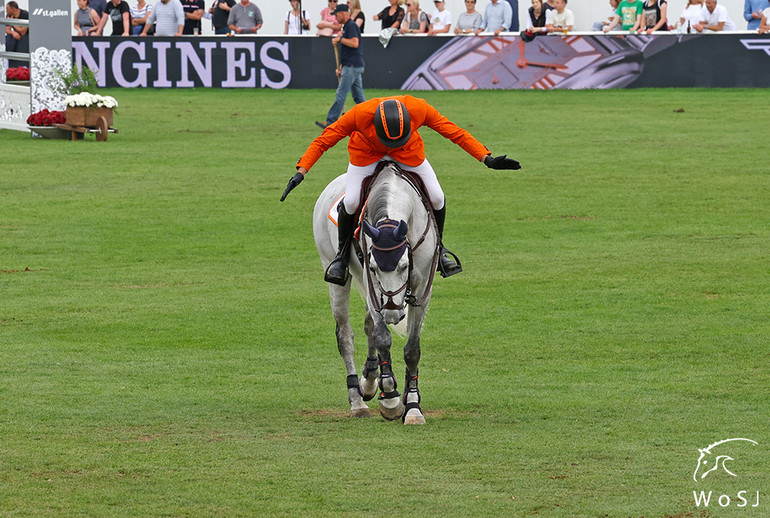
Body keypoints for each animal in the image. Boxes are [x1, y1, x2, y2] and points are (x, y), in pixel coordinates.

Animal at [312, 164, 438, 426]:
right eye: (373, 267)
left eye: (403, 266)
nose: (391, 312)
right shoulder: (372, 286)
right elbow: (382, 338)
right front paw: (390, 400)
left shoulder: (422, 289)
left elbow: (412, 348)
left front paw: (412, 406)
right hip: (335, 271)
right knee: (345, 337)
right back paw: (358, 402)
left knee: (369, 324)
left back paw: (370, 381)